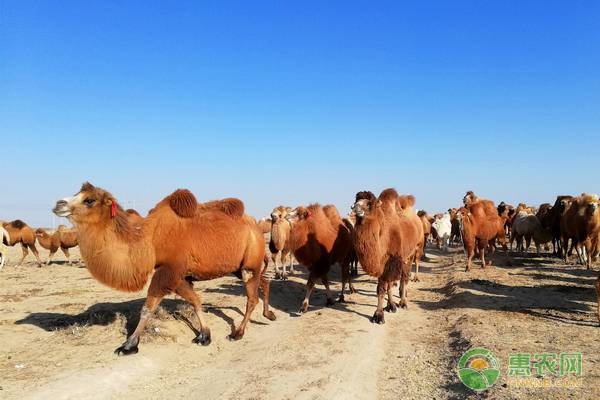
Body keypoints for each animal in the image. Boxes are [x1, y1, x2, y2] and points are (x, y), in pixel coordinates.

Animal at [52, 183, 276, 354]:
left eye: (89, 200)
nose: (58, 204)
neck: (149, 240)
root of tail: (256, 227)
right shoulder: (179, 276)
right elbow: (195, 301)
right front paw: (204, 335)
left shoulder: (168, 271)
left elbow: (147, 308)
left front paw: (128, 345)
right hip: (239, 266)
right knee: (264, 281)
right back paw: (269, 314)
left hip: (249, 263)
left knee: (252, 298)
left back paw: (237, 333)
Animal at [350, 189, 420, 324]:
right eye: (356, 201)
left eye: (369, 204)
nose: (355, 208)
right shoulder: (382, 263)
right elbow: (384, 287)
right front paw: (390, 306)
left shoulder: (391, 261)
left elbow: (383, 287)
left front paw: (379, 315)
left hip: (409, 255)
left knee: (405, 277)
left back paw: (403, 302)